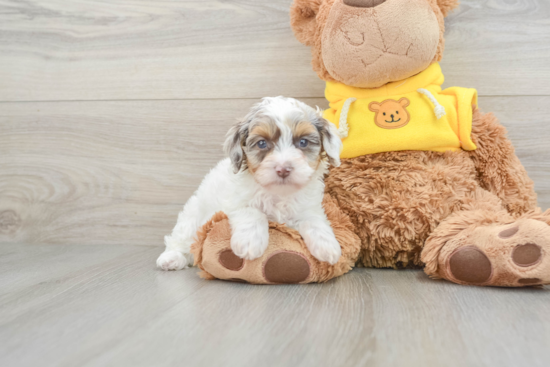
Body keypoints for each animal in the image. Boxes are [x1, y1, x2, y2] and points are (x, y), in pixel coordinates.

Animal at [157, 96, 342, 272]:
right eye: (262, 143)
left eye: (303, 142)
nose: (283, 169)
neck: (278, 193)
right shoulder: (234, 201)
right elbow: (252, 212)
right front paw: (250, 243)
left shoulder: (309, 206)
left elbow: (314, 220)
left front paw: (328, 247)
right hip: (193, 215)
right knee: (182, 238)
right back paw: (171, 258)